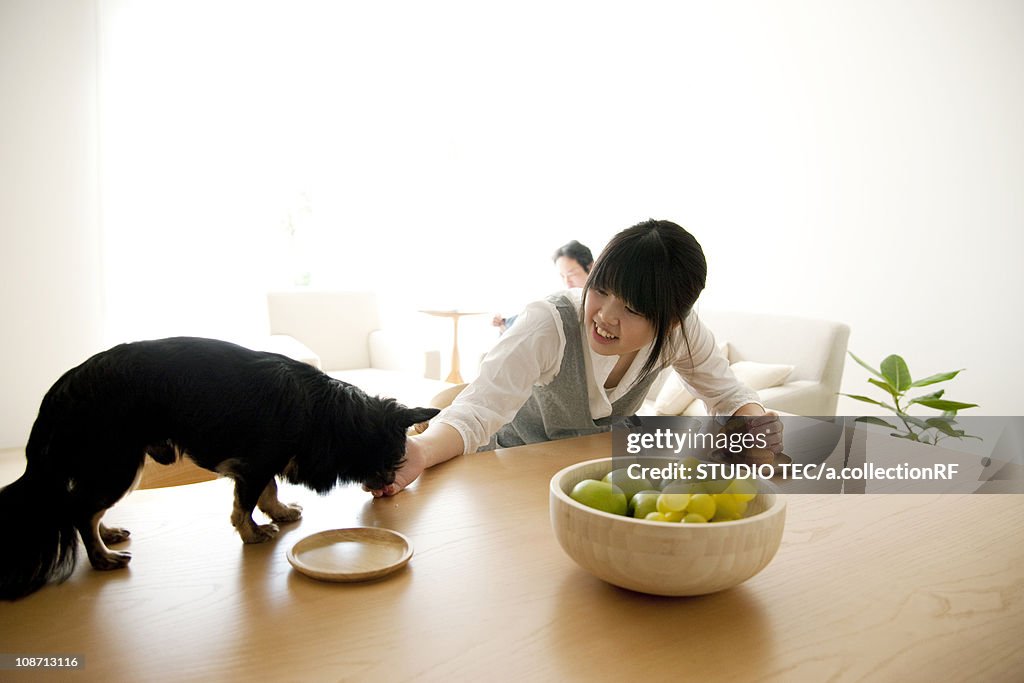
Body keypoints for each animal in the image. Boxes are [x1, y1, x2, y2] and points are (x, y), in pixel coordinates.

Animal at [0, 339, 436, 602]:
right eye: (389, 461)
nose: (389, 483)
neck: (324, 413)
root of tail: (61, 390)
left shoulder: (263, 463)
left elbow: (269, 491)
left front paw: (279, 513)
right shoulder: (254, 464)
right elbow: (244, 504)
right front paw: (253, 533)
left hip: (116, 466)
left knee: (87, 509)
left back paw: (108, 535)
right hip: (118, 463)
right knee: (80, 510)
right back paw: (103, 556)